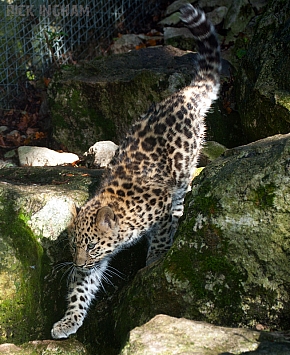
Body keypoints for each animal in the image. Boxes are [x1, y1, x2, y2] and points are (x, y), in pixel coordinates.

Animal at [51, 4, 220, 340]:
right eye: (74, 245)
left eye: (91, 245)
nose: (78, 263)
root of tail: (182, 95)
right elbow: (81, 290)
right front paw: (68, 320)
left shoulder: (159, 208)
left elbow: (161, 236)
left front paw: (155, 260)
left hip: (185, 162)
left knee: (182, 188)